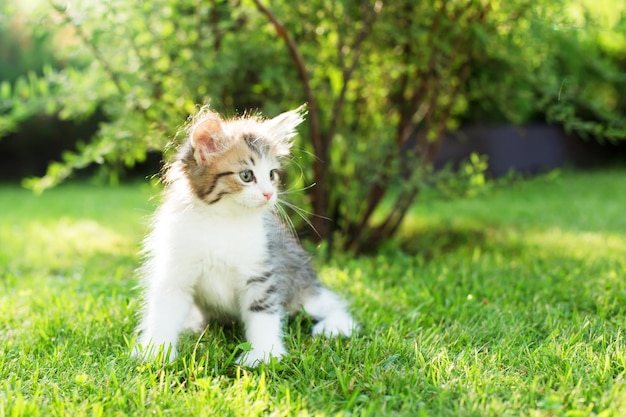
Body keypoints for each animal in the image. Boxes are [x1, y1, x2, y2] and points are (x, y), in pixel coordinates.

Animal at [132, 105, 356, 366]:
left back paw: (336, 326)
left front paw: (263, 354)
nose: (269, 194)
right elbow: (163, 313)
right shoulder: (176, 271)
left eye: (272, 175)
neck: (222, 220)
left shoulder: (260, 271)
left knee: (329, 303)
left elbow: (263, 312)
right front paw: (155, 351)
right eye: (246, 176)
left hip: (301, 285)